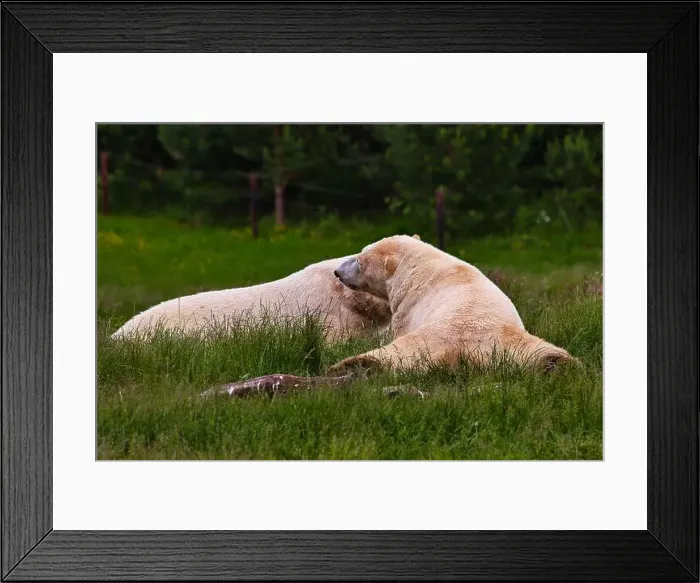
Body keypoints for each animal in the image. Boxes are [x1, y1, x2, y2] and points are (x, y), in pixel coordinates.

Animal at [328, 234, 577, 373]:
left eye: (359, 260)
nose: (338, 271)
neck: (421, 263)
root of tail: (460, 350)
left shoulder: (407, 308)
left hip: (425, 340)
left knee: (390, 354)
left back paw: (351, 365)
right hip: (508, 343)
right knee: (542, 351)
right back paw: (558, 364)